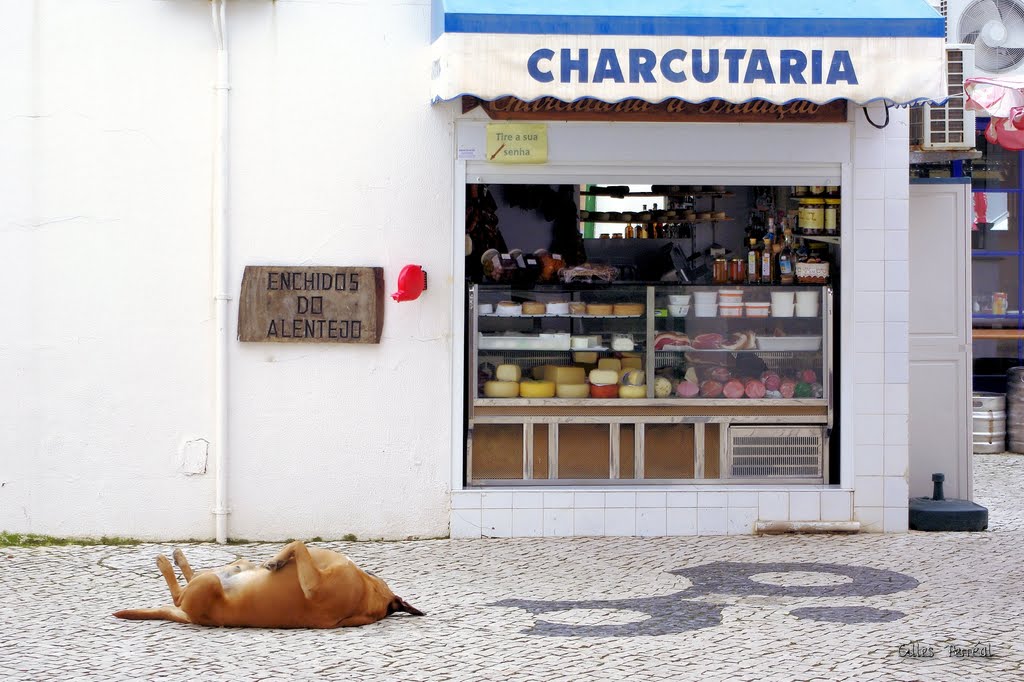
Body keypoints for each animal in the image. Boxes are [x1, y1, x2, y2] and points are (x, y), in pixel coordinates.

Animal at [116, 536, 423, 626]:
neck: (366, 597)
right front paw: (279, 559)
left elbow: (298, 543)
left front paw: (276, 560)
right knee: (199, 575)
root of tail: (189, 617)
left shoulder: (313, 586)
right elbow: (299, 544)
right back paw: (178, 558)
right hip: (236, 566)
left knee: (179, 593)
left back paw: (166, 562)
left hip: (208, 585)